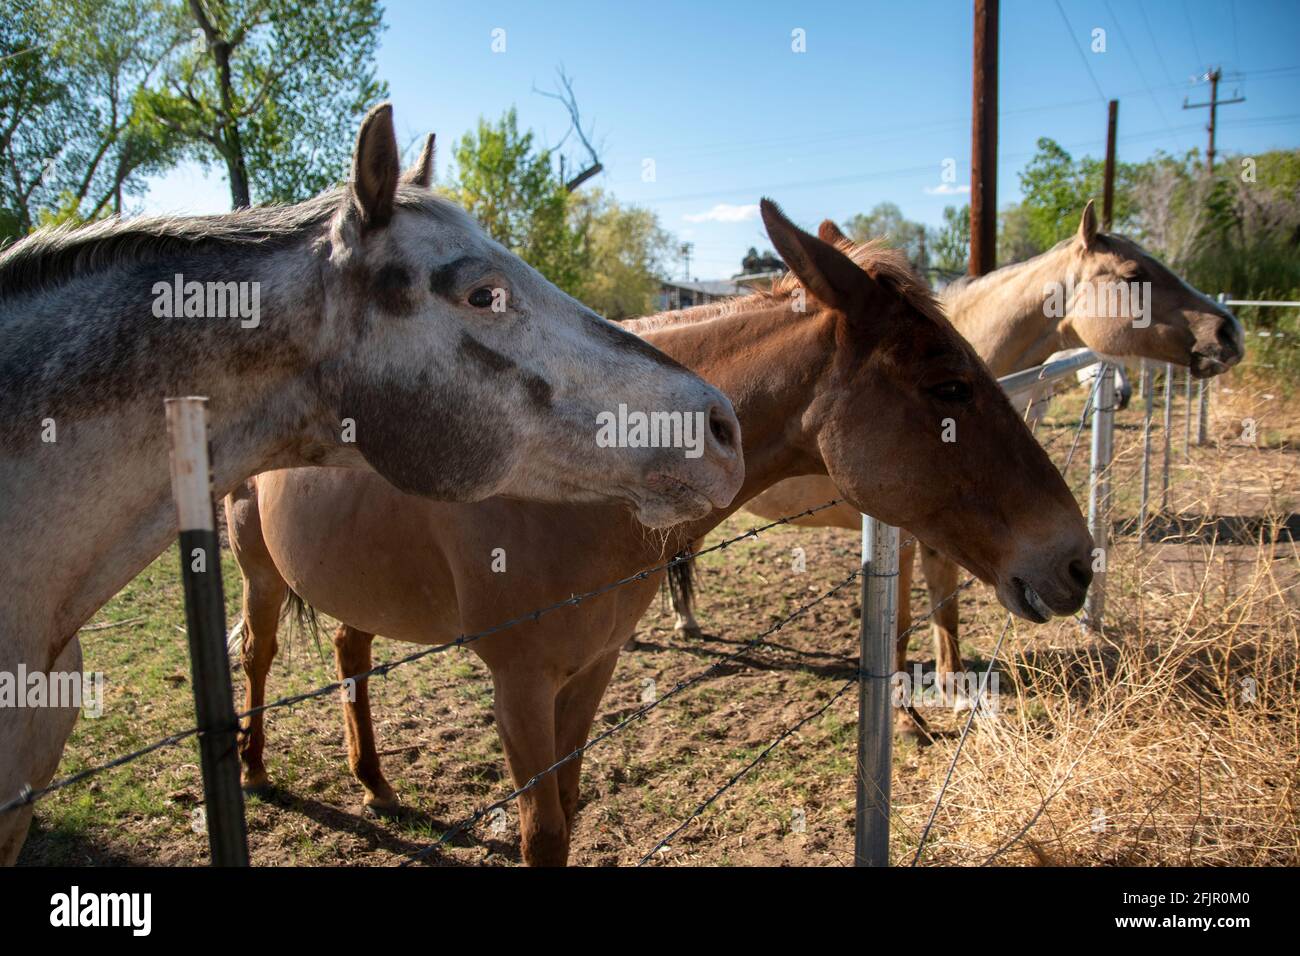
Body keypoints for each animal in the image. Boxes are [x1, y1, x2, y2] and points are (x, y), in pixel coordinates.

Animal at [226, 201, 1097, 868]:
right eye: (948, 386)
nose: (1077, 560)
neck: (590, 483)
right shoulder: (519, 685)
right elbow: (542, 833)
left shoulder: (593, 667)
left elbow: (570, 809)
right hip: (257, 571)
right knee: (257, 653)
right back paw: (254, 768)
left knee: (349, 654)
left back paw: (373, 780)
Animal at [676, 201, 1242, 738]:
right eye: (1134, 274)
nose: (1229, 331)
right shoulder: (903, 532)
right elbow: (902, 622)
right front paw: (905, 718)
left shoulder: (938, 530)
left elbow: (944, 603)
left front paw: (954, 689)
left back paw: (686, 621)